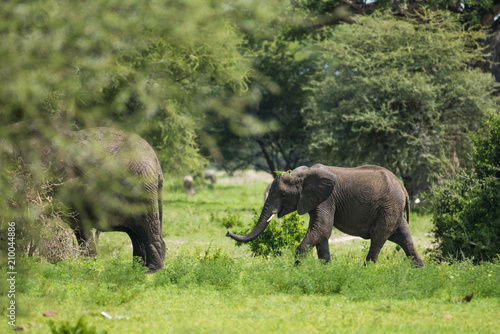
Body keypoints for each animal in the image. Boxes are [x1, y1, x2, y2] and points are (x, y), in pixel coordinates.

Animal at [1, 121, 166, 272]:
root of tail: (156, 163)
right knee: (136, 232)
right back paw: (138, 269)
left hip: (141, 185)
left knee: (146, 227)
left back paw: (151, 271)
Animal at [229, 163, 424, 268]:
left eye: (283, 194)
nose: (227, 233)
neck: (303, 173)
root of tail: (403, 188)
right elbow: (321, 235)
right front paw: (325, 270)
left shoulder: (327, 199)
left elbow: (322, 230)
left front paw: (296, 270)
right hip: (393, 209)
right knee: (404, 238)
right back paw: (420, 271)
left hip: (388, 207)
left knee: (378, 238)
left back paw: (366, 270)